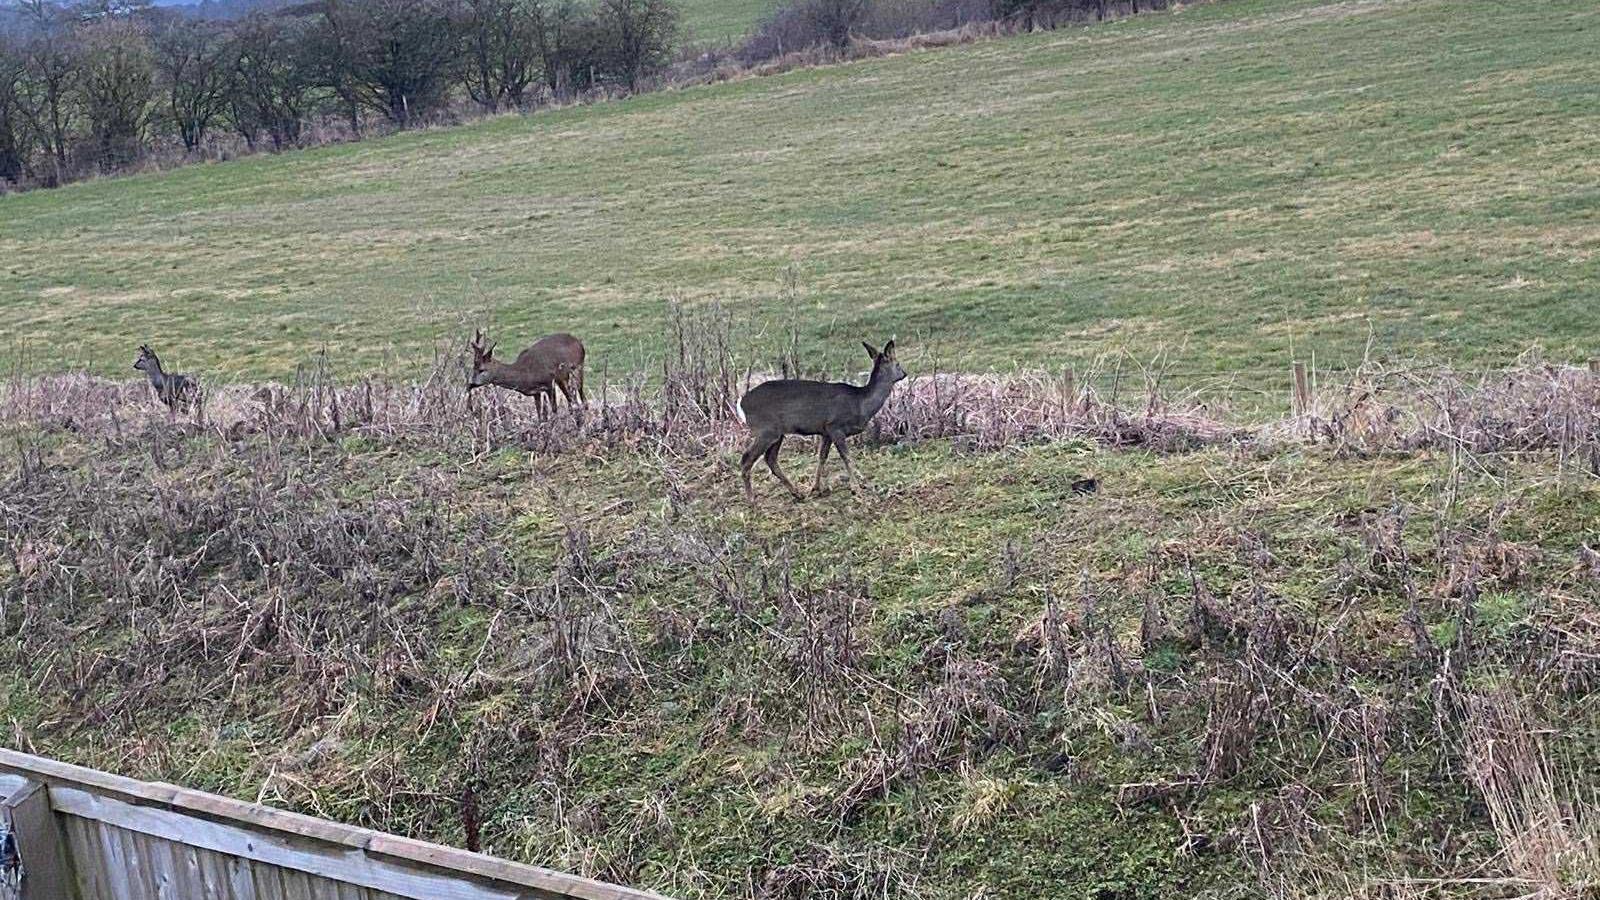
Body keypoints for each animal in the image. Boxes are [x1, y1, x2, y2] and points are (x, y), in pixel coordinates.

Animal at [739, 340, 906, 503]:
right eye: (897, 363)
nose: (905, 373)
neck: (860, 404)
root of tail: (741, 403)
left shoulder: (825, 431)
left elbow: (822, 457)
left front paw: (816, 488)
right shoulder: (835, 426)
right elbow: (847, 457)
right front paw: (857, 488)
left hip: (777, 433)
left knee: (770, 459)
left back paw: (797, 493)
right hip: (766, 429)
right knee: (746, 458)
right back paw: (751, 500)